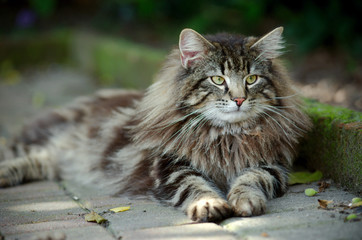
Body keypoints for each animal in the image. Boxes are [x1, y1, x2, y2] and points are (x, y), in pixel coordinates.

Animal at [0, 27, 312, 222]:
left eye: (251, 79)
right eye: (217, 80)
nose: (238, 99)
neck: (226, 137)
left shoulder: (271, 164)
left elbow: (251, 179)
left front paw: (245, 201)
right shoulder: (170, 167)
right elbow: (196, 186)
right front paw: (210, 205)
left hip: (52, 160)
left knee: (37, 161)